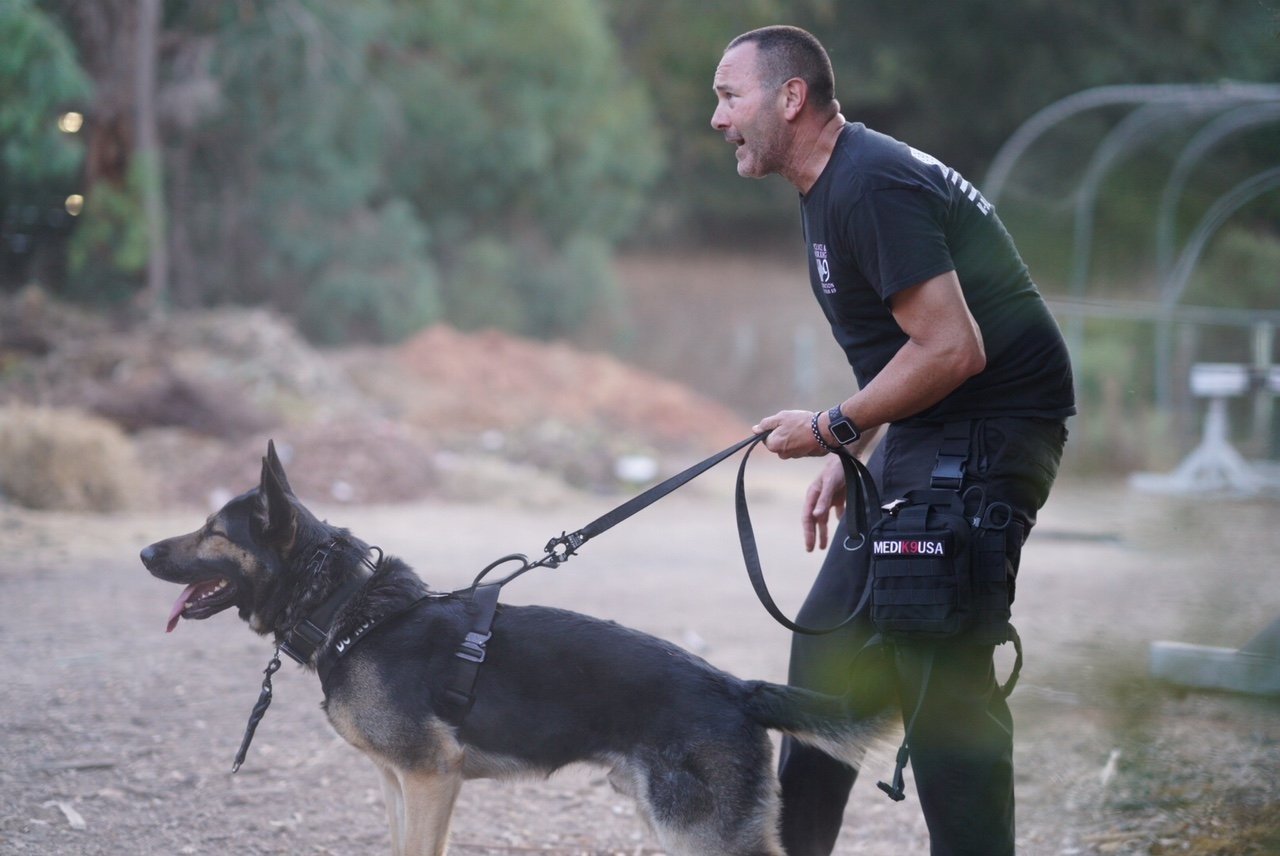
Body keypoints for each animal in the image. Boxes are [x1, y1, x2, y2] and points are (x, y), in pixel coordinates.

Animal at [135, 445, 885, 849]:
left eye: (214, 531)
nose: (142, 552)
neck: (347, 609)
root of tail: (736, 687)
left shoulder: (431, 779)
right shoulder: (395, 783)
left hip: (696, 832)